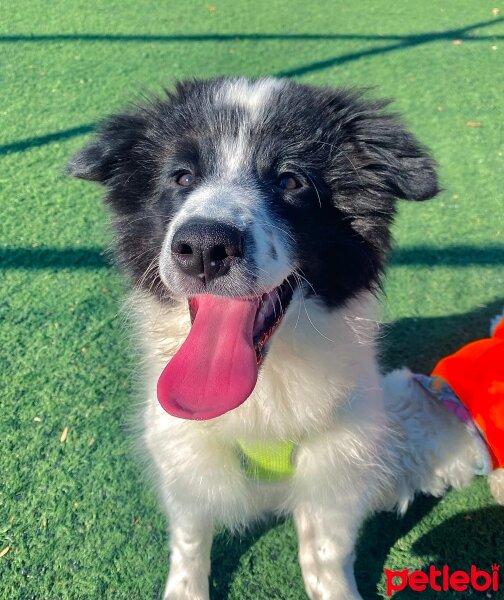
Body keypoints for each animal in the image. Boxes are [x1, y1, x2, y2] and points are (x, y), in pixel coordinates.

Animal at [66, 77, 488, 596]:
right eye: (182, 177)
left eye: (290, 181)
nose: (203, 247)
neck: (265, 392)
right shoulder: (183, 456)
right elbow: (189, 541)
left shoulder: (338, 466)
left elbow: (327, 552)